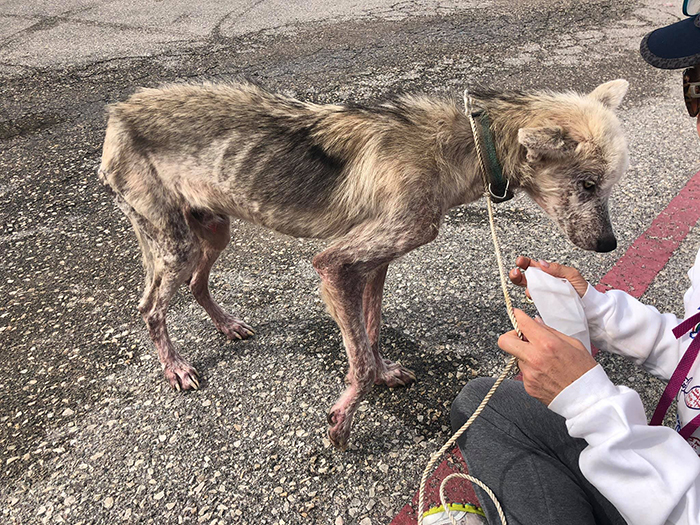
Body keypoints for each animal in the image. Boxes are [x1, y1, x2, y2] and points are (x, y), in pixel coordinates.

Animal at [98, 78, 628, 446]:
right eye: (587, 185)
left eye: (608, 186)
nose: (609, 245)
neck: (471, 144)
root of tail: (119, 112)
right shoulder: (334, 265)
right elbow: (358, 364)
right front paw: (342, 423)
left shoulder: (375, 265)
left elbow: (370, 335)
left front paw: (384, 370)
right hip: (177, 248)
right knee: (150, 309)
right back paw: (175, 367)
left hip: (212, 232)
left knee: (196, 286)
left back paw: (226, 326)